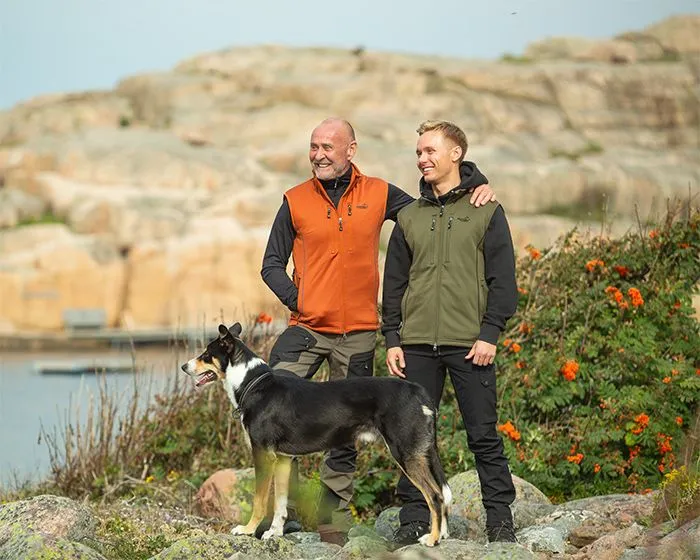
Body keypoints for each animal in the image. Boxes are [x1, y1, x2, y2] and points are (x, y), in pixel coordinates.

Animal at [183, 324, 452, 548]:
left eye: (206, 354)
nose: (184, 367)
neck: (253, 384)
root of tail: (419, 392)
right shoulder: (282, 459)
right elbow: (280, 503)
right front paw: (274, 533)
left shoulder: (262, 454)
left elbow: (260, 500)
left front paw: (248, 530)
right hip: (421, 453)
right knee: (441, 494)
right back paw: (443, 535)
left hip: (405, 453)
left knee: (435, 496)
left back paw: (432, 539)